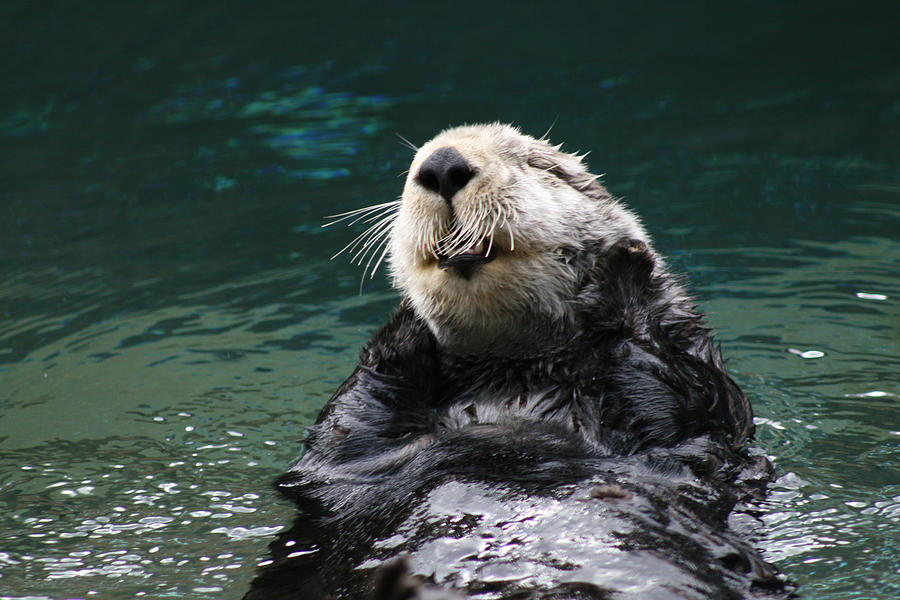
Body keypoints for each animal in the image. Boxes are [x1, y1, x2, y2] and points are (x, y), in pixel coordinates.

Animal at [243, 124, 792, 596]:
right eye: (412, 166)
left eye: (541, 166)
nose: (441, 165)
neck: (515, 383)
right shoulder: (345, 459)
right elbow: (346, 430)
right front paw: (412, 313)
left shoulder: (704, 414)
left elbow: (670, 395)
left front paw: (624, 269)